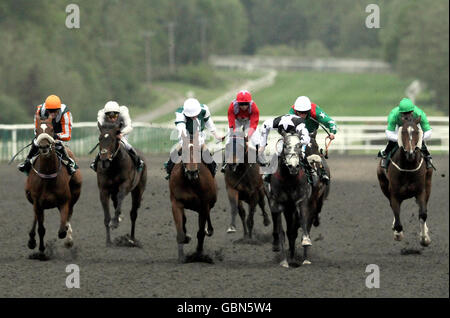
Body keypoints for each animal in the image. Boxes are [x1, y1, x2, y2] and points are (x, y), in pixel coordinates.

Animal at [24, 116, 82, 258]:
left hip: (74, 194)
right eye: (37, 130)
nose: (44, 146)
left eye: (51, 129)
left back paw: (68, 238)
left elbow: (62, 229)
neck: (47, 176)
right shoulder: (37, 202)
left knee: (69, 215)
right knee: (36, 217)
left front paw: (67, 237)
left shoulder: (64, 201)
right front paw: (41, 251)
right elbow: (41, 228)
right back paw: (31, 240)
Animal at [170, 134, 217, 264]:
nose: (192, 172)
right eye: (183, 152)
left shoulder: (204, 206)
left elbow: (200, 233)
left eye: (197, 151)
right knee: (184, 221)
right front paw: (182, 256)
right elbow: (180, 231)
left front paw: (198, 254)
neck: (190, 182)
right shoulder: (176, 203)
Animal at [268, 133, 312, 268]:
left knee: (292, 231)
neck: (289, 180)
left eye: (299, 145)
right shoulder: (278, 205)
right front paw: (284, 261)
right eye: (286, 145)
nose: (293, 166)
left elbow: (304, 224)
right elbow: (281, 232)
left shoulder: (301, 200)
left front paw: (306, 256)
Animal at [376, 114, 432, 246]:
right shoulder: (394, 194)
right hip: (383, 185)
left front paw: (424, 238)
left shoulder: (420, 191)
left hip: (428, 185)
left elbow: (423, 214)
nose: (410, 153)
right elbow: (396, 214)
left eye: (416, 131)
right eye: (403, 132)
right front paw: (398, 233)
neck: (408, 167)